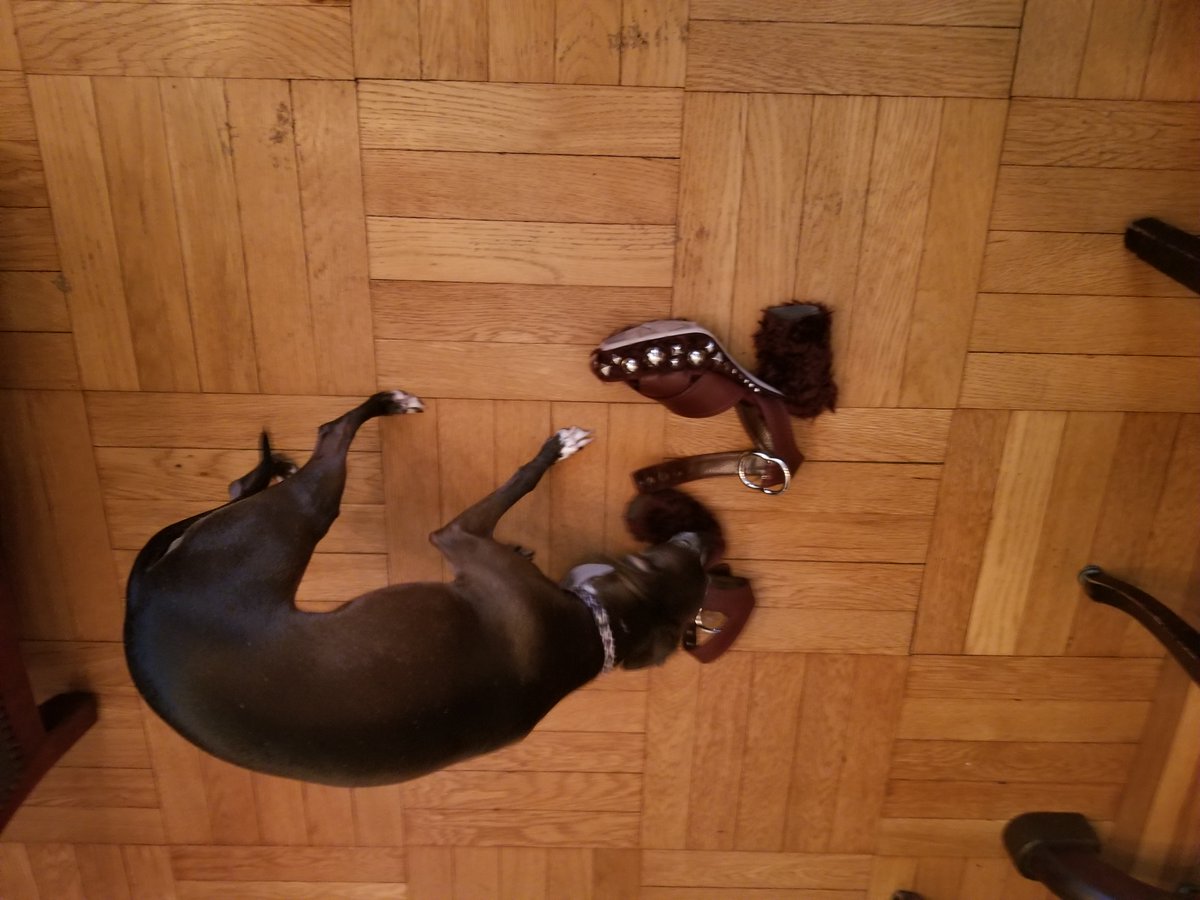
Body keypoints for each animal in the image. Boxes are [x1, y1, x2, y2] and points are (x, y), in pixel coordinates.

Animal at [124, 391, 720, 786]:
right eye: (684, 558)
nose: (704, 540)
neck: (592, 634)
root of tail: (139, 603)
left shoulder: (457, 538)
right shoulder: (460, 537)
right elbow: (522, 482)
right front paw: (556, 449)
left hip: (296, 516)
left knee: (320, 438)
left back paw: (377, 409)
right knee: (287, 456)